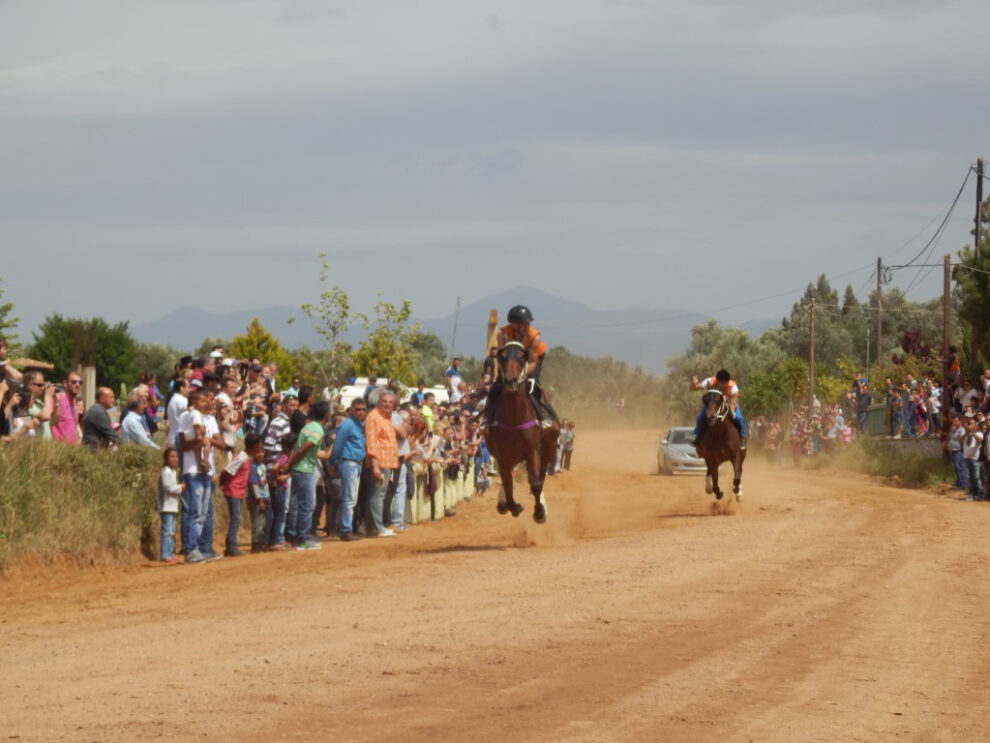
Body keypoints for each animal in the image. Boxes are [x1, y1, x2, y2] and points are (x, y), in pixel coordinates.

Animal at [486, 342, 560, 524]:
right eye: (503, 356)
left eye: (521, 357)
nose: (511, 381)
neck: (514, 418)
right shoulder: (503, 456)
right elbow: (507, 485)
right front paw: (512, 506)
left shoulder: (533, 450)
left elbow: (536, 483)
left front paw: (539, 512)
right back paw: (503, 502)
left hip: (549, 446)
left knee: (540, 476)